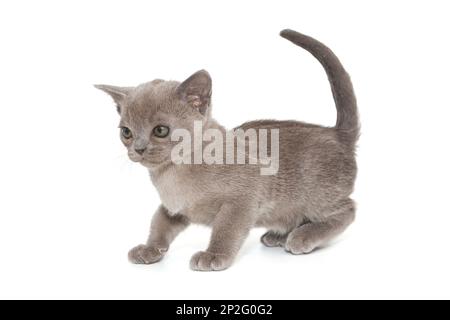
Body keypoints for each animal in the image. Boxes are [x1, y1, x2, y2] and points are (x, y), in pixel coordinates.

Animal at [95, 29, 358, 270]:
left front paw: (213, 255)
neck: (172, 174)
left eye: (160, 130)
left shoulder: (242, 200)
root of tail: (336, 132)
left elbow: (226, 229)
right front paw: (149, 249)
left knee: (348, 210)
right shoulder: (172, 208)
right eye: (126, 132)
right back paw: (278, 235)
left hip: (316, 196)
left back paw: (303, 237)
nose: (138, 148)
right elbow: (158, 224)